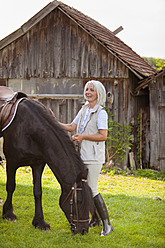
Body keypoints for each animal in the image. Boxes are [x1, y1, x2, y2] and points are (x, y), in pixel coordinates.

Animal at [0, 95, 94, 234]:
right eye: (78, 201)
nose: (83, 230)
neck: (29, 128)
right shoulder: (11, 162)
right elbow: (11, 186)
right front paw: (8, 214)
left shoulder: (38, 164)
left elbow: (38, 192)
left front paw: (40, 222)